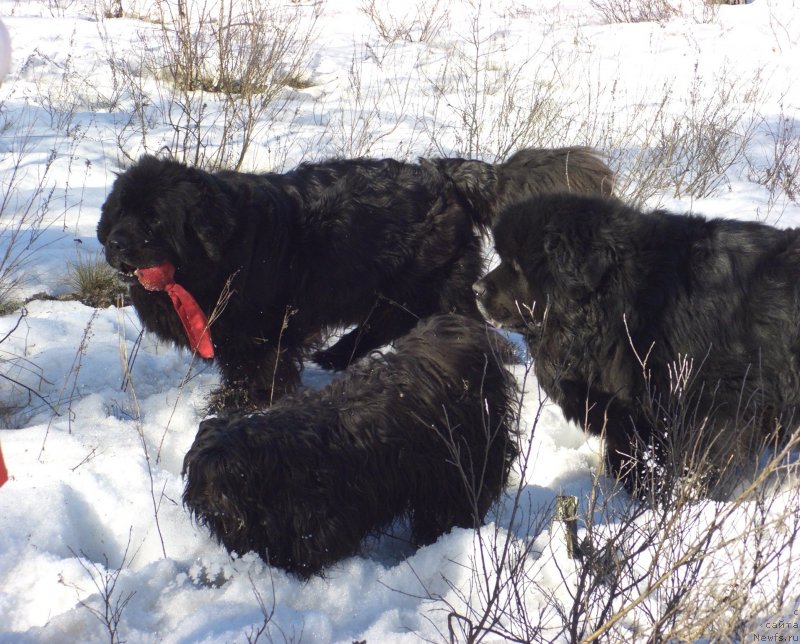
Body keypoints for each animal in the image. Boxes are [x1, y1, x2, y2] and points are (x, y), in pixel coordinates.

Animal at [98, 148, 612, 408]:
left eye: (153, 220)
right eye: (119, 212)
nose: (115, 244)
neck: (222, 247)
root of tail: (448, 174)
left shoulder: (263, 331)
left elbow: (259, 372)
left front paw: (239, 402)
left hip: (427, 279)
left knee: (429, 319)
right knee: (385, 323)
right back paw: (336, 355)